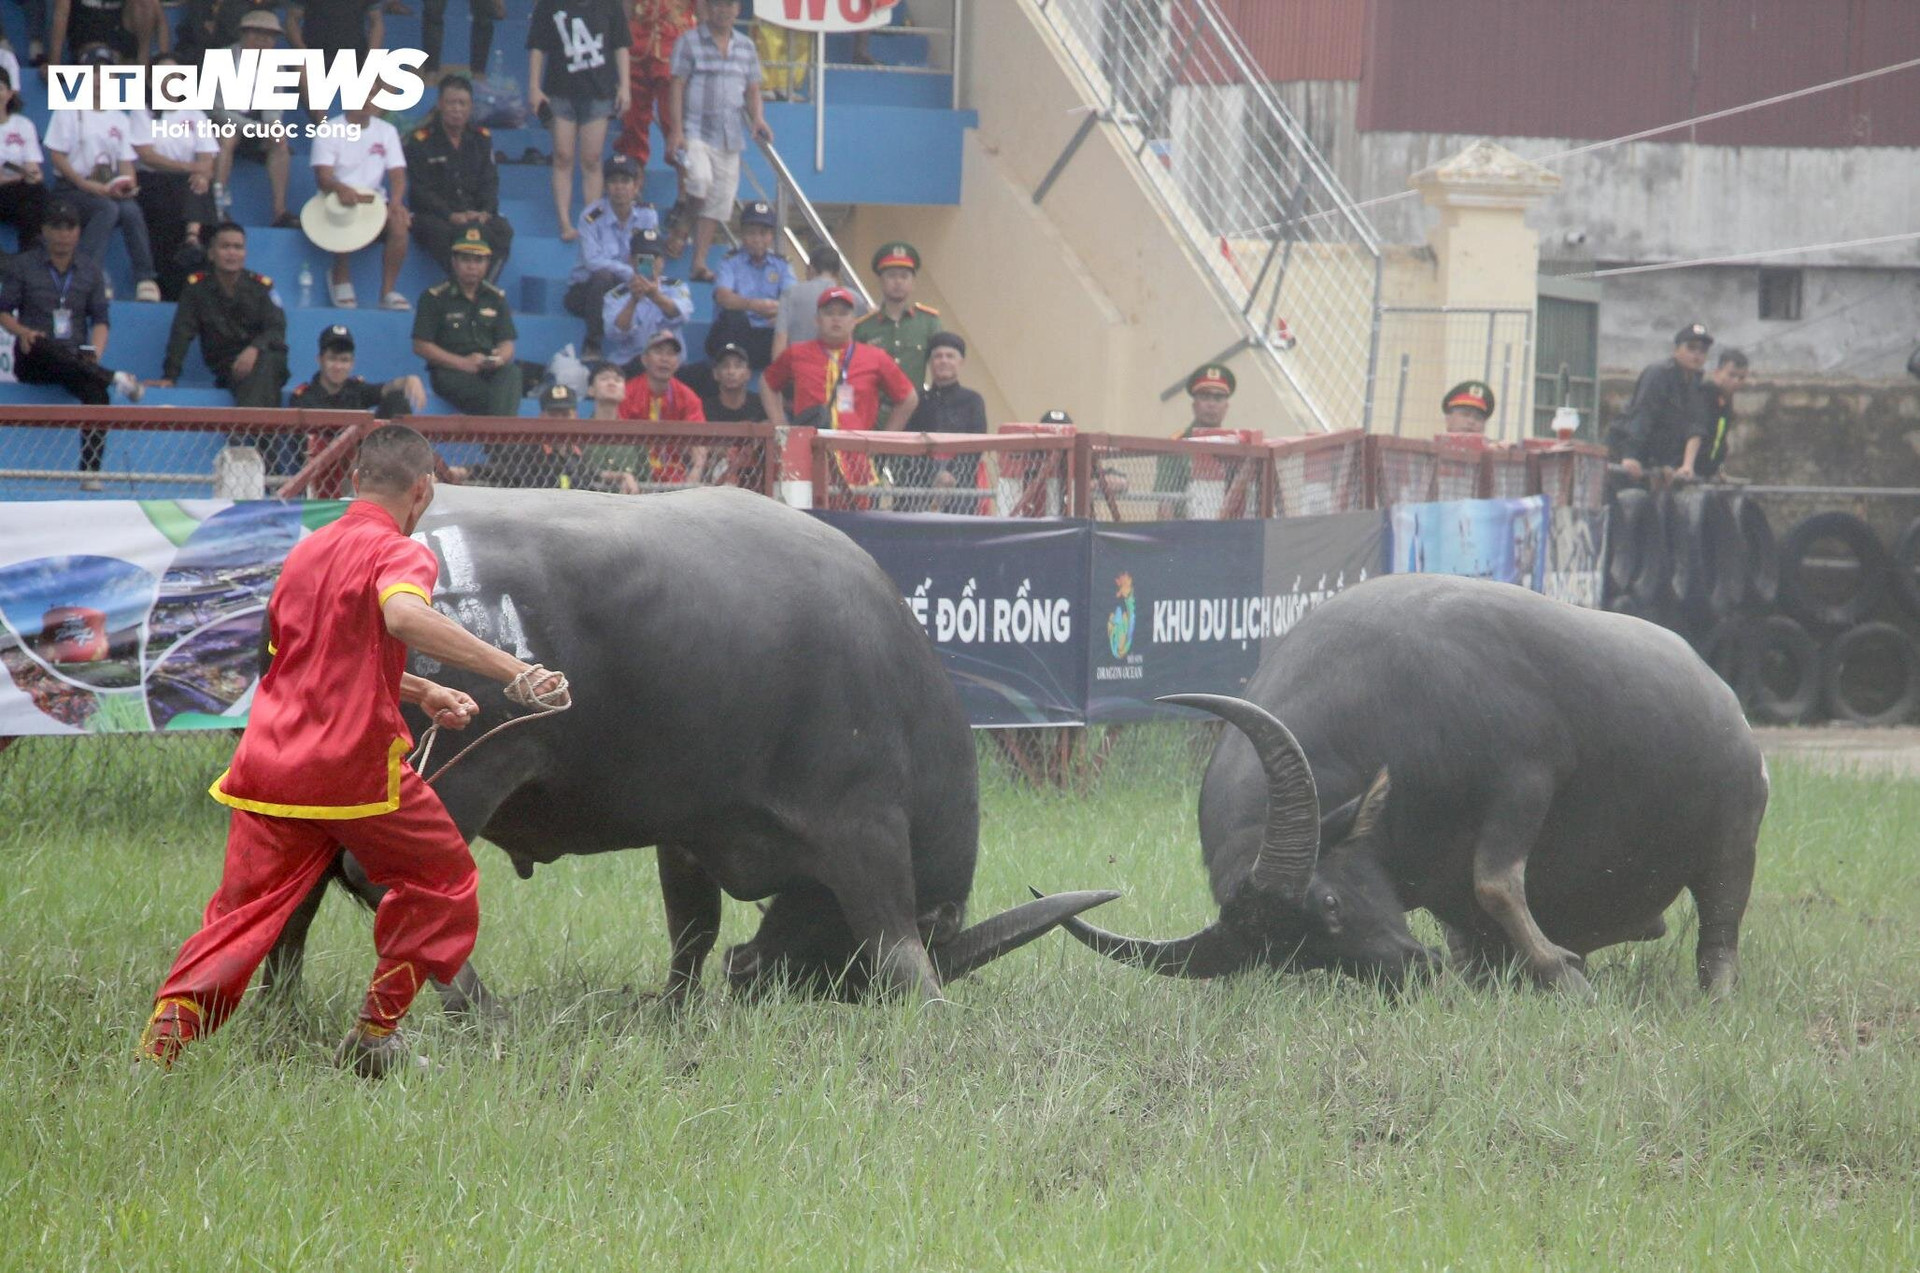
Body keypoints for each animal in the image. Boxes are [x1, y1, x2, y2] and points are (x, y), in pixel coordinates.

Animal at [263, 487, 1121, 1006]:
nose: (759, 975)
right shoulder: (866, 819)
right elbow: (891, 929)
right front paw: (928, 1003)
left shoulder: (688, 828)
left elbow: (692, 929)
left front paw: (675, 1005)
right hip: (463, 773)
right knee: (382, 877)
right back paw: (477, 1006)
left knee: (296, 884)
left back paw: (280, 1005)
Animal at [1052, 572, 1766, 998]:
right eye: (1297, 957)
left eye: (1329, 902)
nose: (1410, 972)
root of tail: (1724, 697)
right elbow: (1480, 907)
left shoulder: (1526, 777)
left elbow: (1497, 881)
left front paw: (1563, 972)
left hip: (1734, 840)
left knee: (1719, 933)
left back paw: (1717, 996)